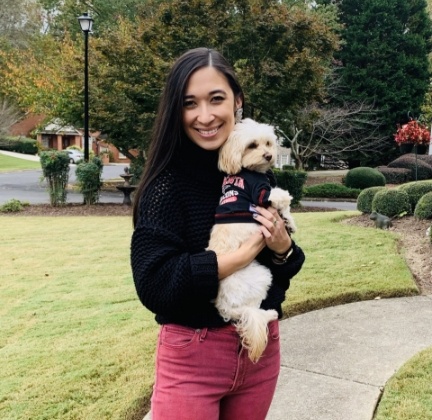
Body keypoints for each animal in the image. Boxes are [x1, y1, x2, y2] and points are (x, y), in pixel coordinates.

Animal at [207, 117, 296, 360]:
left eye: (268, 143)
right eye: (252, 145)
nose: (268, 155)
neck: (249, 170)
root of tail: (227, 307)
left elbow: (284, 211)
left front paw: (289, 223)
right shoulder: (261, 193)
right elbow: (278, 195)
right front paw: (286, 202)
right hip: (261, 275)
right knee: (254, 309)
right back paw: (269, 314)